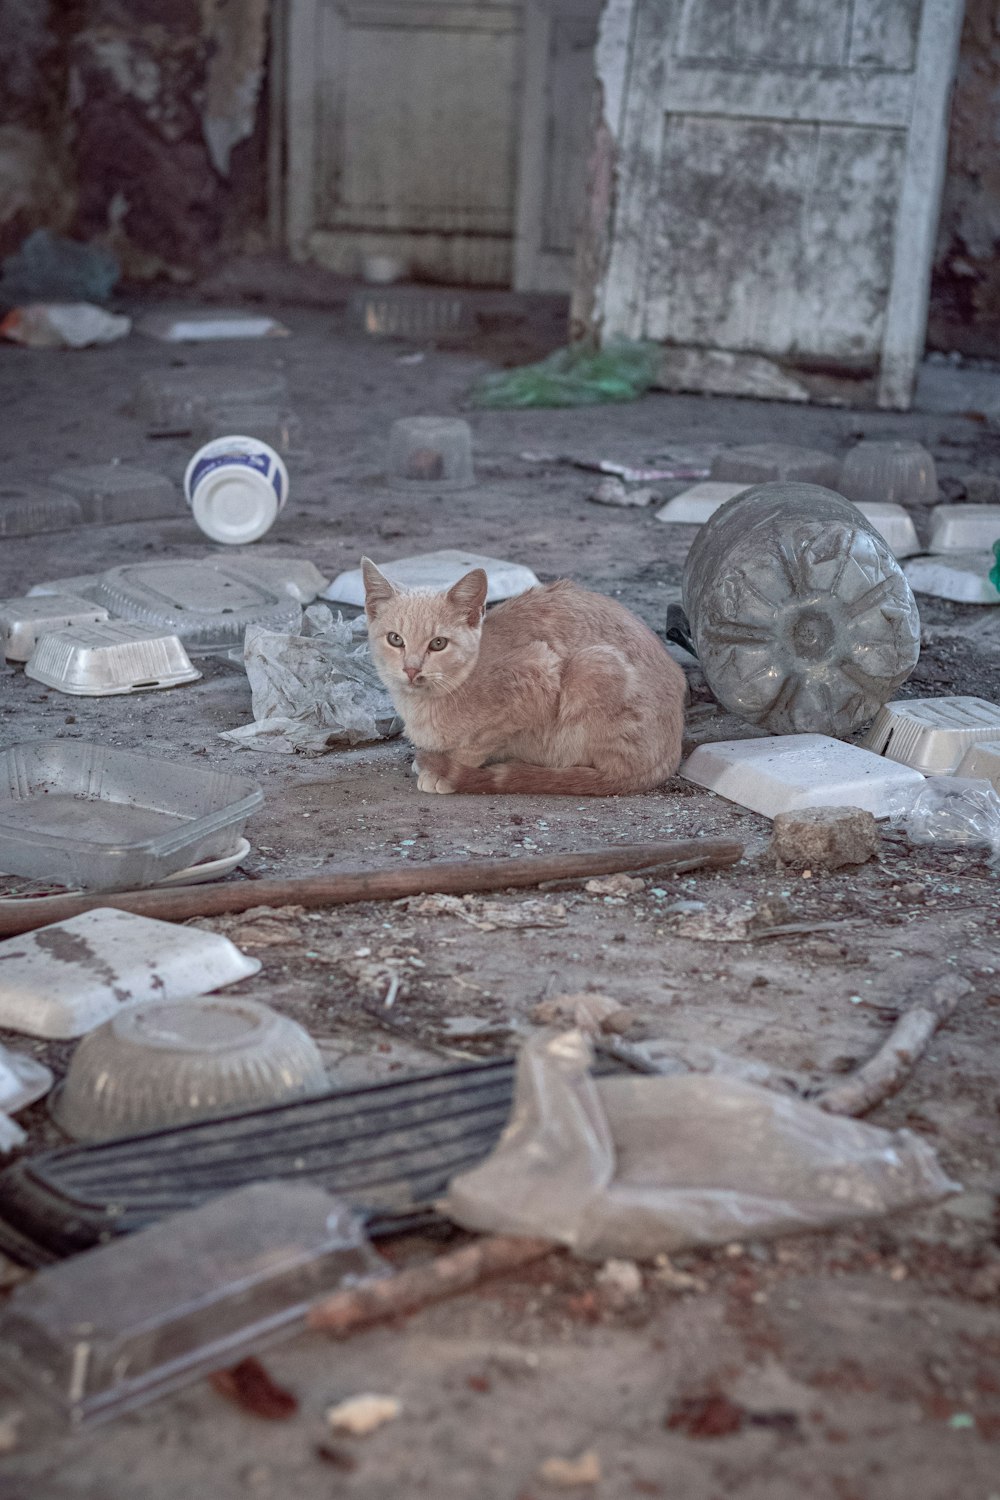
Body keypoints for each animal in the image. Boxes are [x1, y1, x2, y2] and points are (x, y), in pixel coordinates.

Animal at [361, 561, 689, 798]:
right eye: (395, 639)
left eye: (438, 644)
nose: (411, 669)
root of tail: (670, 756)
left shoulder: (538, 672)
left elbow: (480, 741)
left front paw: (449, 767)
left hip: (594, 665)